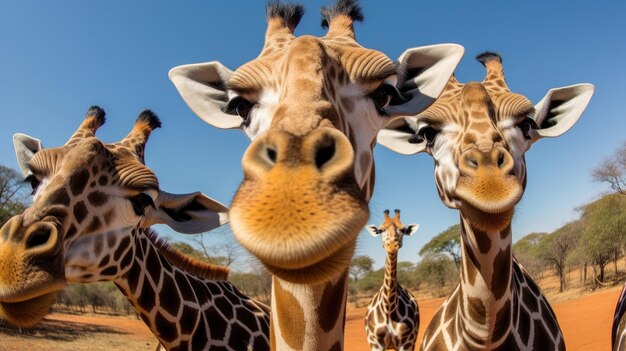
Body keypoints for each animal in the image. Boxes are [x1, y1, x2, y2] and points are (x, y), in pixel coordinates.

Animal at [360, 210, 420, 350]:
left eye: (403, 229)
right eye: (380, 230)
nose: (392, 245)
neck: (389, 307)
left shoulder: (406, 343)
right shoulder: (376, 344)